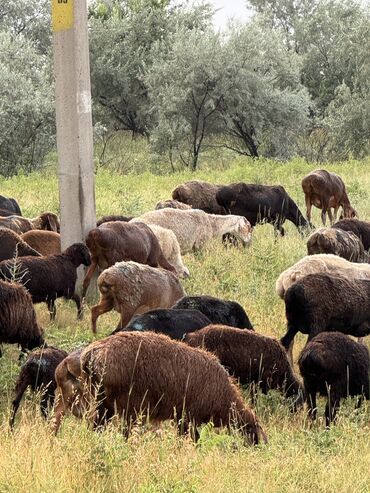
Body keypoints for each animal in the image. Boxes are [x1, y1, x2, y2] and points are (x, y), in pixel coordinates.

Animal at [52, 328, 266, 444]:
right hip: (125, 407)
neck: (223, 396)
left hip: (102, 406)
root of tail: (91, 354)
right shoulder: (189, 418)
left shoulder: (182, 418)